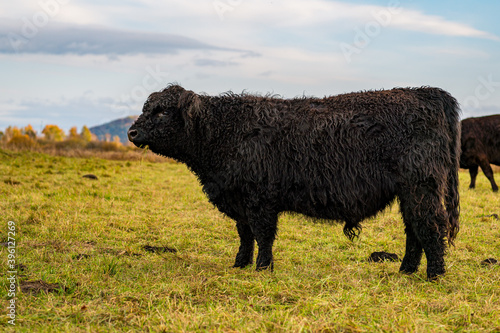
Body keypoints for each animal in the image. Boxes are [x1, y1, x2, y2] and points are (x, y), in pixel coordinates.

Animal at [129, 84, 460, 278]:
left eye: (162, 111)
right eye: (146, 108)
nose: (132, 132)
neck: (225, 133)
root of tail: (423, 91)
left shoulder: (259, 199)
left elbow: (263, 234)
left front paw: (263, 268)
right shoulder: (239, 201)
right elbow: (245, 234)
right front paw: (240, 264)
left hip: (421, 186)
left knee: (431, 225)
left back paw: (434, 274)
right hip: (410, 192)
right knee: (414, 229)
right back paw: (406, 270)